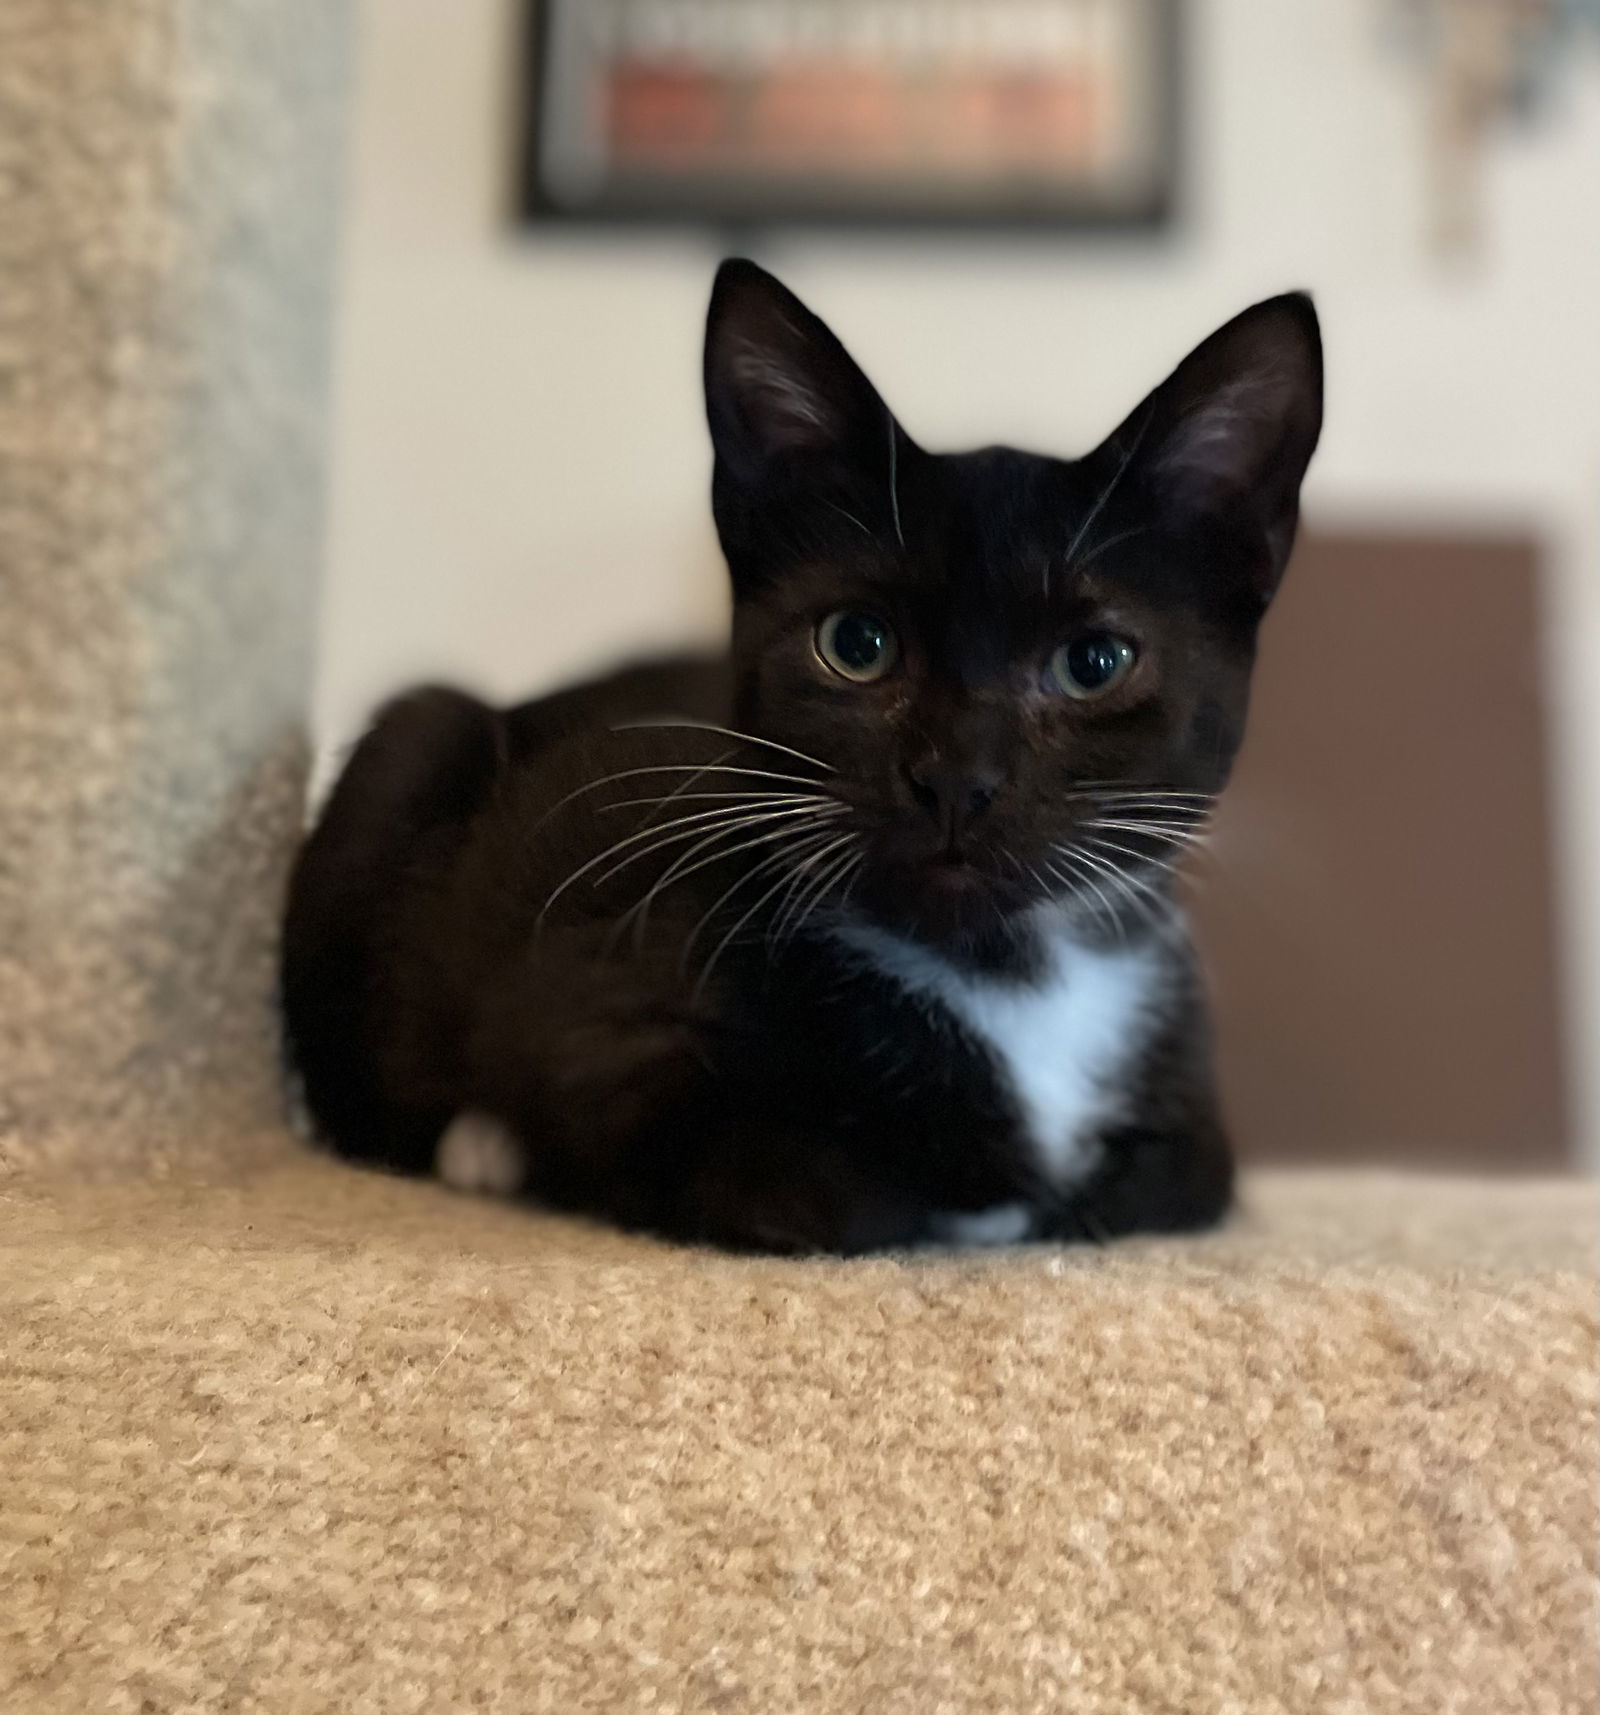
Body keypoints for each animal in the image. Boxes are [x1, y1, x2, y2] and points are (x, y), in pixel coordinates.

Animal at [284, 260, 1323, 1262]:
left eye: (1095, 662)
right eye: (856, 643)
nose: (955, 776)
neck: (1007, 972)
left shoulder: (1187, 1104)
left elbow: (1184, 1176)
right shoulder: (604, 1023)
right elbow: (828, 1191)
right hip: (414, 745)